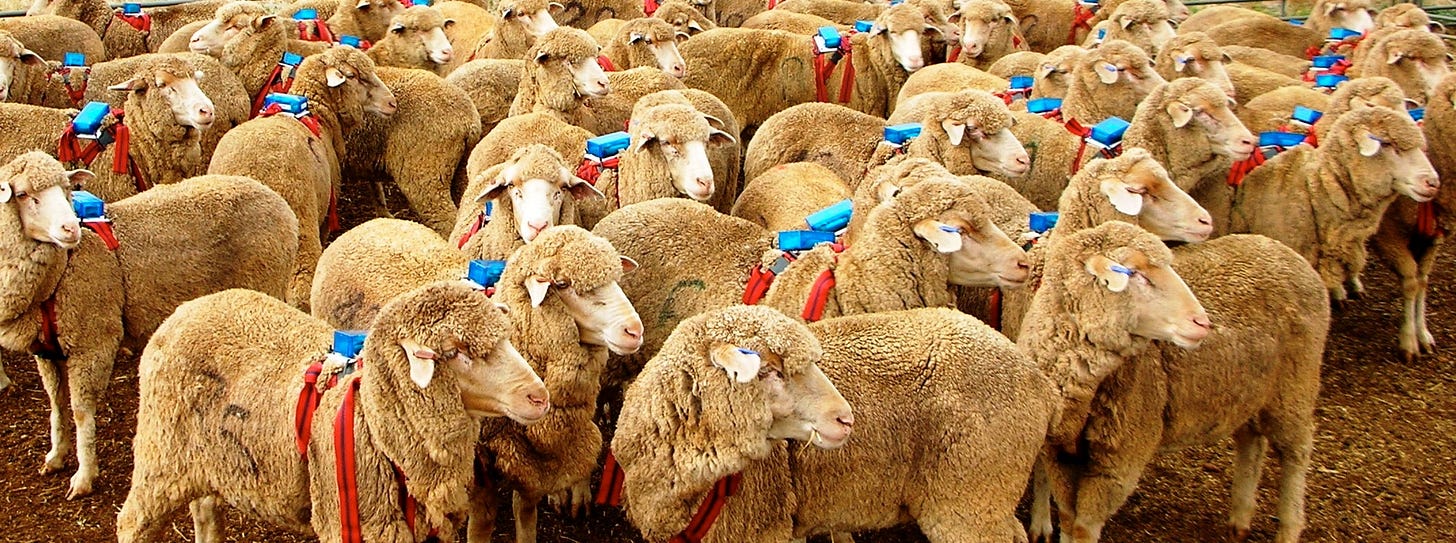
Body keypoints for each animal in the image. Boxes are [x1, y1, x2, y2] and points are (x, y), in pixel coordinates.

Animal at [0, 153, 297, 499]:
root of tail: (280, 203)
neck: (63, 269)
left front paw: (84, 476)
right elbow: (57, 405)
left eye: (67, 190)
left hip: (265, 283)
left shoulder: (93, 340)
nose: (70, 228)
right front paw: (56, 455)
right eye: (22, 194)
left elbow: (81, 411)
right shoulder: (46, 351)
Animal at [115, 282, 550, 542]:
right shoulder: (358, 522)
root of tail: (183, 311)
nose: (539, 397)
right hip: (159, 453)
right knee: (132, 521)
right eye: (456, 352)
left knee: (204, 510)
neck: (372, 422)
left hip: (204, 456)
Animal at [210, 46, 399, 309]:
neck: (314, 113)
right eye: (352, 76)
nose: (392, 102)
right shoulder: (325, 216)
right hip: (301, 223)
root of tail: (253, 172)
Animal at [1019, 220, 1323, 543]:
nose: (1202, 322)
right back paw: (1240, 518)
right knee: (1251, 440)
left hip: (1294, 388)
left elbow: (1082, 529)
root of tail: (1283, 250)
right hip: (1251, 392)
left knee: (1297, 452)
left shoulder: (1120, 460)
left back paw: (1289, 526)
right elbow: (1067, 518)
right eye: (1134, 273)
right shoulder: (1060, 453)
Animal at [1370, 72, 1456, 362]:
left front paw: (1423, 334)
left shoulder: (1432, 239)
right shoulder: (1388, 236)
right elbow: (1410, 283)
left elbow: (1423, 281)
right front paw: (1408, 340)